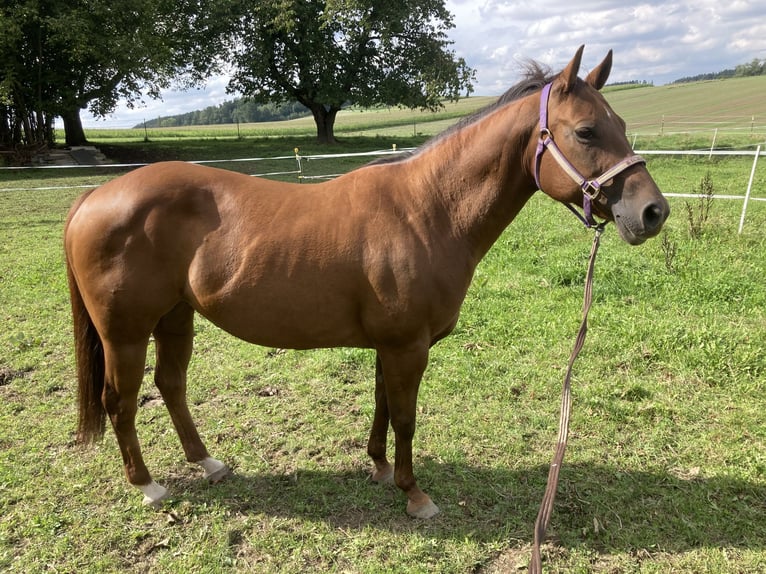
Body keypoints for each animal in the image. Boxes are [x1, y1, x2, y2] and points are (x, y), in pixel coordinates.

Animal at [64, 47, 664, 520]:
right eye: (586, 131)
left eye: (622, 125)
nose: (652, 212)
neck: (428, 208)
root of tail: (95, 196)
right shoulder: (407, 346)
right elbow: (406, 418)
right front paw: (414, 494)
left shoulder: (388, 345)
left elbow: (381, 406)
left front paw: (377, 468)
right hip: (125, 332)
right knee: (120, 400)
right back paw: (148, 486)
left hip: (175, 317)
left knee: (171, 385)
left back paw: (208, 463)